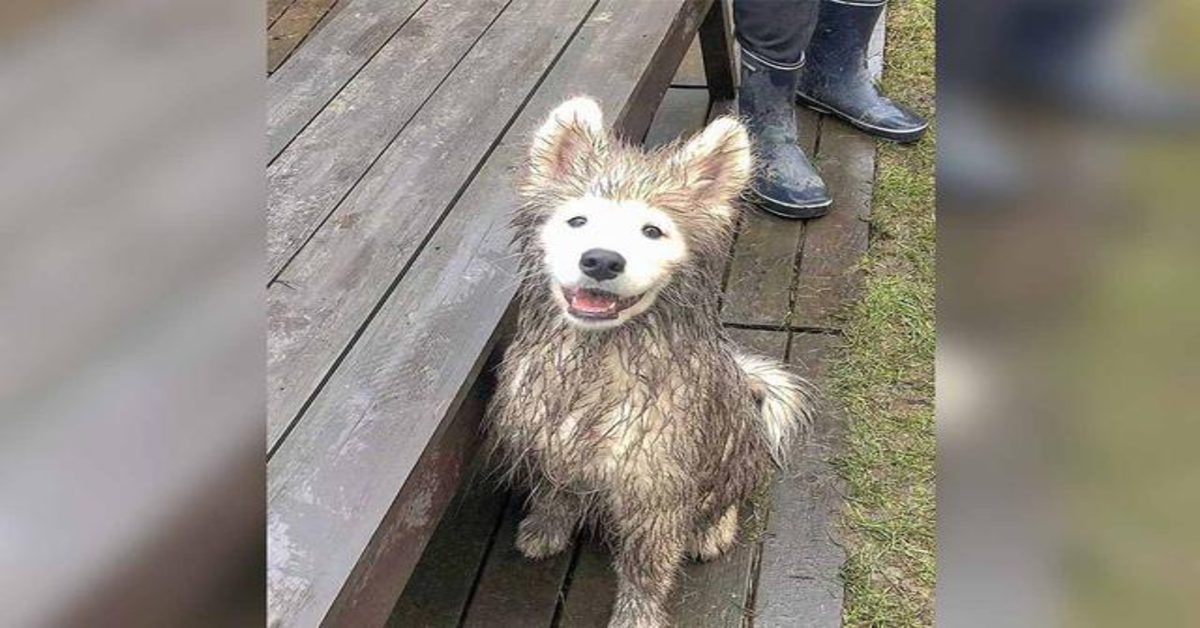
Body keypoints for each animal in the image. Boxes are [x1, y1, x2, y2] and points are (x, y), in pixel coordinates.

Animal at [487, 98, 816, 628]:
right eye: (577, 221)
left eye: (652, 231)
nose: (601, 261)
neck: (596, 364)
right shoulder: (552, 446)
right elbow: (555, 493)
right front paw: (545, 528)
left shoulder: (656, 492)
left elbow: (646, 574)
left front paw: (636, 618)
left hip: (735, 456)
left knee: (727, 497)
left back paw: (712, 530)